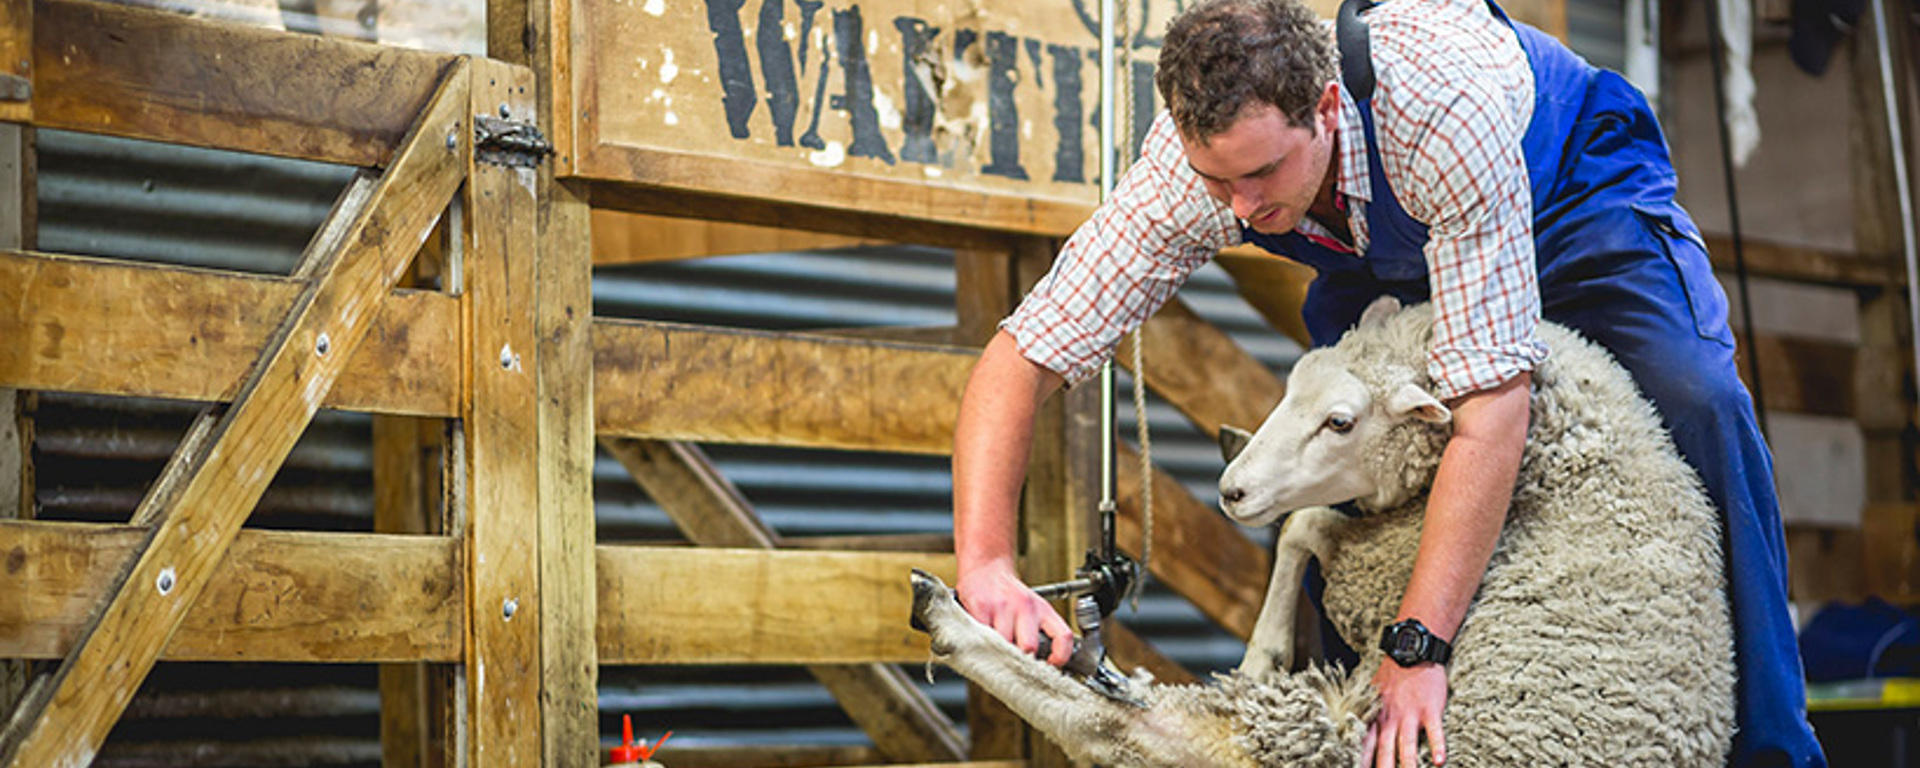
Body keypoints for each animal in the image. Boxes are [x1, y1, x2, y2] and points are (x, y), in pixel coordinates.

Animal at [906, 299, 1735, 768]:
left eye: (1341, 422)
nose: (1231, 489)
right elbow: (1302, 527)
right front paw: (1265, 644)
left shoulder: (1389, 562)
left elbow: (1304, 524)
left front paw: (1263, 648)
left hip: (1317, 727)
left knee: (1118, 730)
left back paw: (954, 619)